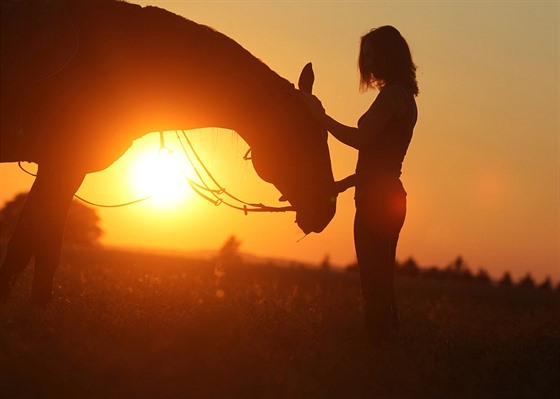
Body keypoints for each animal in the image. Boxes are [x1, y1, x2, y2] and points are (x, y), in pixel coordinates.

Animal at [0, 0, 334, 306]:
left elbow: (42, 246)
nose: (327, 209)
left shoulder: (67, 169)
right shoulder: (62, 165)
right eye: (302, 133)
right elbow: (28, 245)